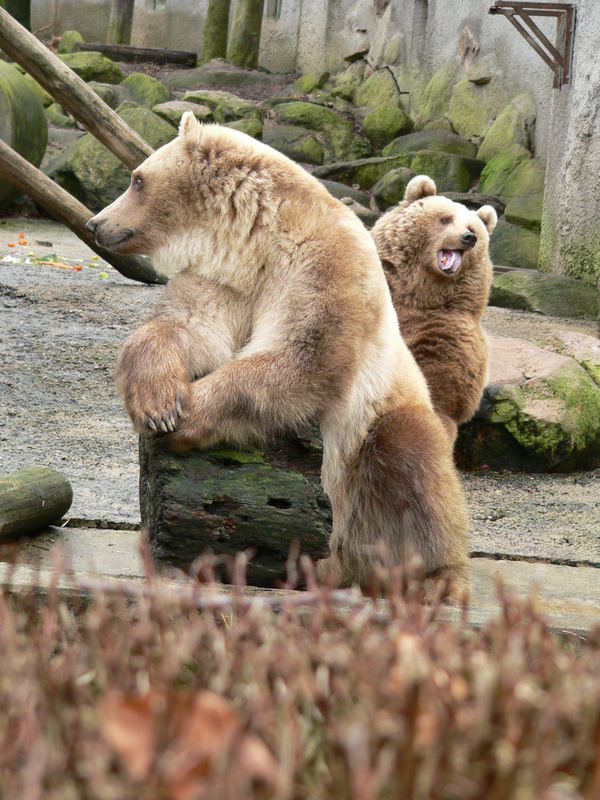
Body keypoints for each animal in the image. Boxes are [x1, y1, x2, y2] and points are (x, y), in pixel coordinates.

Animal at [86, 115, 472, 596]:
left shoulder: (320, 270)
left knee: (412, 464)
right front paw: (158, 403)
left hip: (373, 433)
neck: (255, 239)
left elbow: (300, 357)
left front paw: (187, 415)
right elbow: (188, 328)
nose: (95, 223)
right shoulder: (225, 279)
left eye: (137, 179)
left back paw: (436, 579)